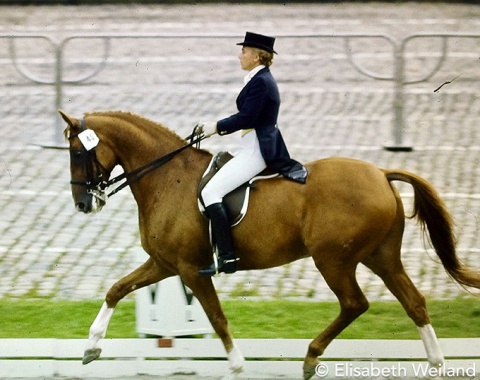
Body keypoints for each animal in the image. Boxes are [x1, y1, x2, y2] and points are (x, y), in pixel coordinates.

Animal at [60, 110, 480, 380]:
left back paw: (311, 358)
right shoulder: (164, 264)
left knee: (355, 303)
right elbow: (116, 289)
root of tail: (380, 172)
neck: (166, 178)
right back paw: (437, 365)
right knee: (414, 302)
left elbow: (217, 317)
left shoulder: (190, 269)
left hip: (334, 259)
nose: (82, 204)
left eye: (77, 152)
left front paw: (237, 367)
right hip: (381, 256)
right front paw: (91, 348)